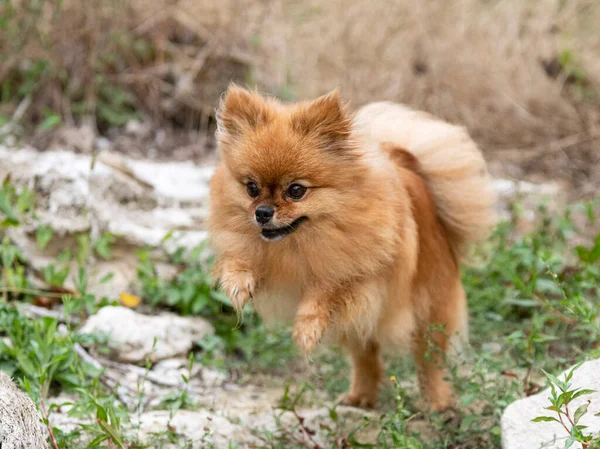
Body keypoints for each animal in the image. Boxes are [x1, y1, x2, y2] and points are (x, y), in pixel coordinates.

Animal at [209, 85, 494, 410]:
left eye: (296, 190)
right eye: (251, 188)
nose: (263, 212)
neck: (299, 243)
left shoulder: (358, 277)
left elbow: (324, 290)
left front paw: (306, 330)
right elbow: (240, 259)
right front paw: (237, 284)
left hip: (428, 311)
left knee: (429, 361)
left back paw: (437, 402)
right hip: (359, 326)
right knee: (366, 358)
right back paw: (360, 397)